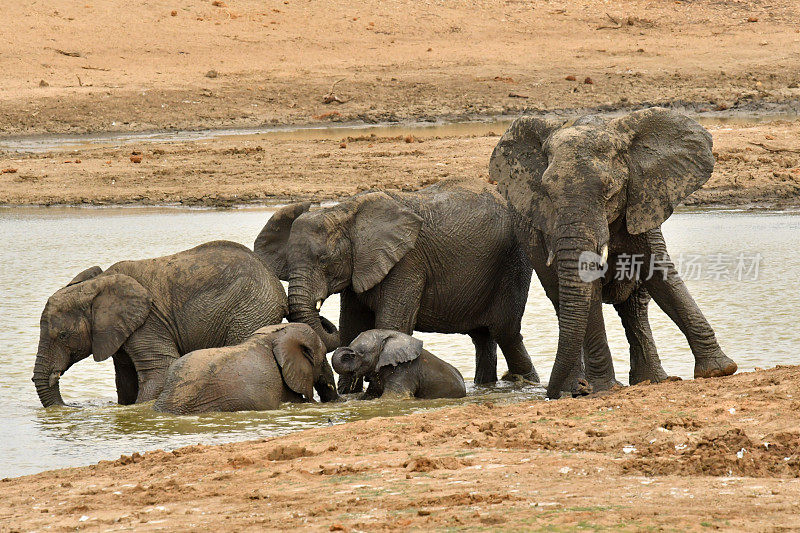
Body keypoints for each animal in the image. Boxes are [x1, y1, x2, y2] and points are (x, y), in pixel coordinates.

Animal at [255, 177, 536, 388]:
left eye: (325, 260)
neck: (345, 212)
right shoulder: (360, 267)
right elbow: (352, 327)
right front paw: (348, 396)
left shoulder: (407, 262)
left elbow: (390, 325)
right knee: (483, 338)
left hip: (515, 261)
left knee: (506, 332)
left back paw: (528, 383)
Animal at [490, 109, 740, 400]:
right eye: (547, 193)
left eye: (610, 191)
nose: (550, 392)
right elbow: (589, 291)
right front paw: (604, 388)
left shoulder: (645, 200)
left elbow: (661, 275)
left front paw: (719, 370)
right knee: (563, 303)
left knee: (635, 307)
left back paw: (649, 381)